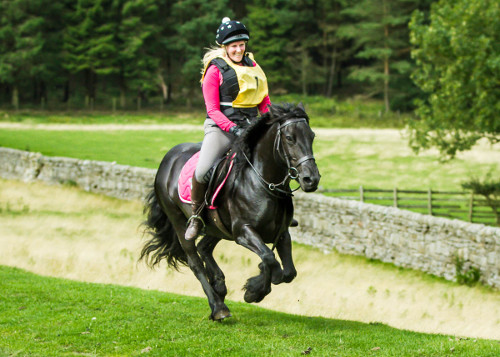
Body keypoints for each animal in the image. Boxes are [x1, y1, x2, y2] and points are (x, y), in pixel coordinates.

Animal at [140, 103, 320, 320]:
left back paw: (219, 285)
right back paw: (218, 307)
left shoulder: (282, 233)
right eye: (289, 137)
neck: (261, 183)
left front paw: (254, 286)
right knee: (195, 261)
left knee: (204, 248)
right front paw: (254, 291)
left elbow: (288, 271)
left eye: (312, 136)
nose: (311, 179)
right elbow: (270, 260)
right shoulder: (243, 232)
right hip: (179, 222)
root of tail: (167, 159)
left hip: (216, 228)